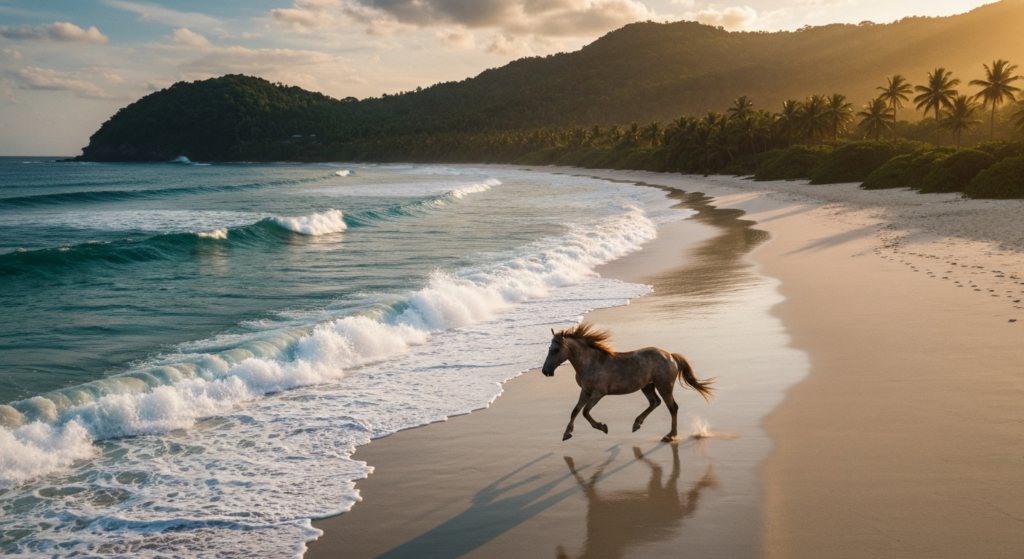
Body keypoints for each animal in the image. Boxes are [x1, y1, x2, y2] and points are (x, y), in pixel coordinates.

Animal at [541, 323, 714, 442]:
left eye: (555, 350)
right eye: (549, 348)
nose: (545, 371)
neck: (590, 362)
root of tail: (671, 356)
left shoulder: (598, 393)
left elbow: (585, 412)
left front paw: (603, 427)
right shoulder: (586, 391)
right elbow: (575, 411)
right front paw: (566, 434)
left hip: (664, 386)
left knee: (672, 407)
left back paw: (670, 436)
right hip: (647, 386)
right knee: (655, 402)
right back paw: (637, 424)